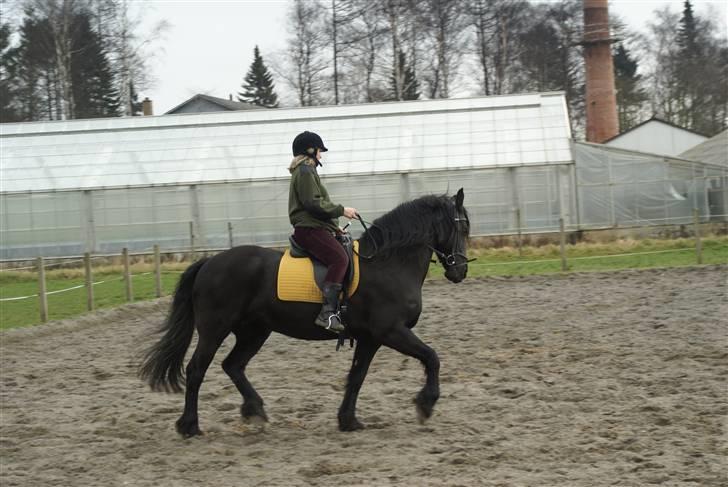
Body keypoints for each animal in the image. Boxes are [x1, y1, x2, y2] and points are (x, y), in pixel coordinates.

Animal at [141, 189, 472, 436]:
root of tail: (209, 263)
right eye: (462, 226)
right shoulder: (391, 331)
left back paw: (255, 410)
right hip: (215, 329)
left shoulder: (370, 338)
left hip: (254, 331)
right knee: (197, 370)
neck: (387, 264)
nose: (460, 271)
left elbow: (357, 376)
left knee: (232, 365)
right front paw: (425, 405)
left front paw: (348, 420)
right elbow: (432, 357)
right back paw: (190, 426)